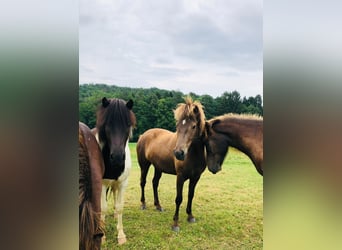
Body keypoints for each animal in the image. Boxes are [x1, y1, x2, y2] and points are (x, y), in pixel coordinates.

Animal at [92, 96, 138, 245]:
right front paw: (102, 236)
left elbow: (119, 207)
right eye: (107, 124)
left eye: (128, 124)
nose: (117, 158)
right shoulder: (102, 184)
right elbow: (103, 208)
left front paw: (121, 235)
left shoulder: (122, 184)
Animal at [136, 96, 206, 231]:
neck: (193, 154)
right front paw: (175, 223)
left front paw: (190, 216)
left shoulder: (196, 177)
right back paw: (143, 204)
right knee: (143, 182)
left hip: (158, 167)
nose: (179, 153)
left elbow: (191, 195)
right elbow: (179, 198)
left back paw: (158, 206)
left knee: (155, 183)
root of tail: (143, 135)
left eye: (194, 126)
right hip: (144, 165)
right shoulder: (180, 176)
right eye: (177, 125)